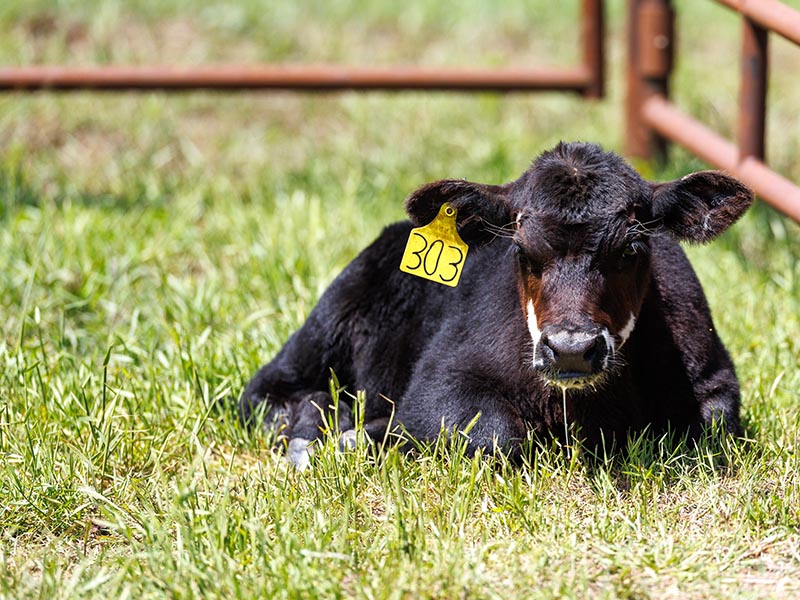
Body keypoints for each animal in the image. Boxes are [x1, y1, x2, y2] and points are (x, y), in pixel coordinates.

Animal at [239, 142, 753, 467]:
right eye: (521, 249)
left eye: (630, 248)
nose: (570, 349)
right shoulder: (439, 385)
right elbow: (496, 435)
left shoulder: (713, 379)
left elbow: (710, 424)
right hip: (330, 319)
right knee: (267, 392)